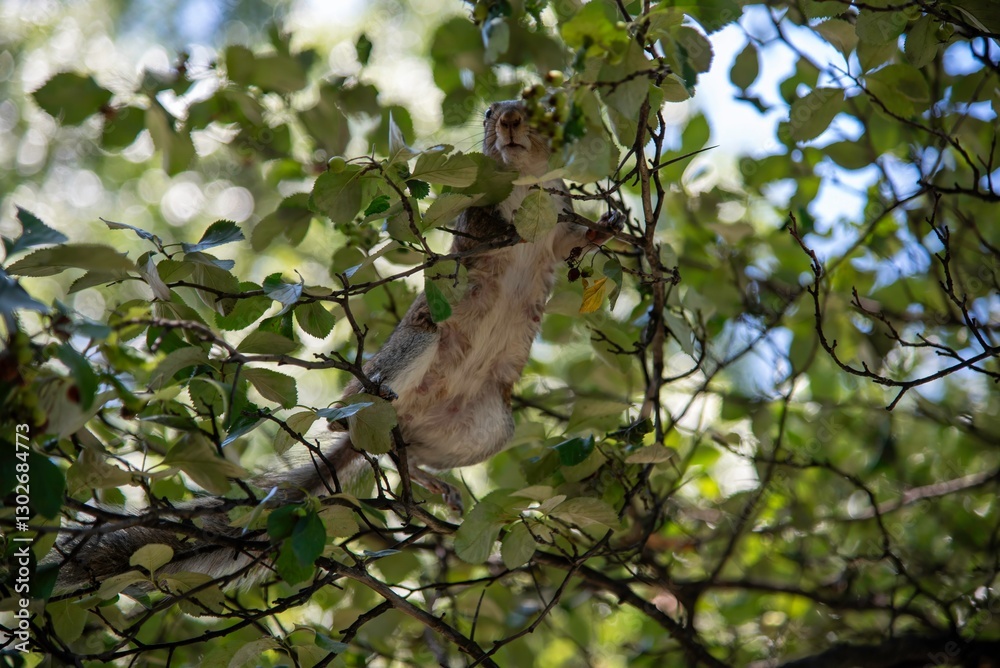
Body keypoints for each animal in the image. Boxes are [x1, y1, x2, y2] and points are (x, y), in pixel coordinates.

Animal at [52, 100, 623, 592]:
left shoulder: (558, 222)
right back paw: (352, 417)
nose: (506, 121)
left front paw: (607, 226)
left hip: (488, 430)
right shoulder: (479, 221)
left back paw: (430, 482)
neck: (528, 186)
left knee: (409, 454)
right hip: (418, 341)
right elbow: (492, 227)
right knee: (352, 413)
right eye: (486, 113)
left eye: (539, 107)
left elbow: (567, 243)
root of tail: (388, 423)